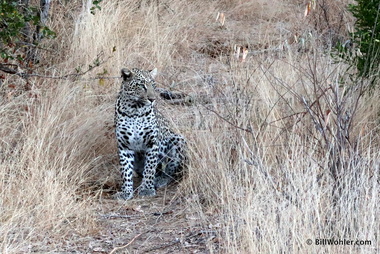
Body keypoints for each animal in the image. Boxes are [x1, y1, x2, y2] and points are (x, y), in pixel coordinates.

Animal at [115, 67, 186, 200]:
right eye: (141, 85)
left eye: (153, 85)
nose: (152, 99)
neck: (135, 110)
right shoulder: (124, 145)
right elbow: (125, 170)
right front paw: (126, 192)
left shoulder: (152, 143)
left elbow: (149, 167)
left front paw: (147, 189)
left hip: (179, 139)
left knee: (170, 169)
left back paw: (160, 180)